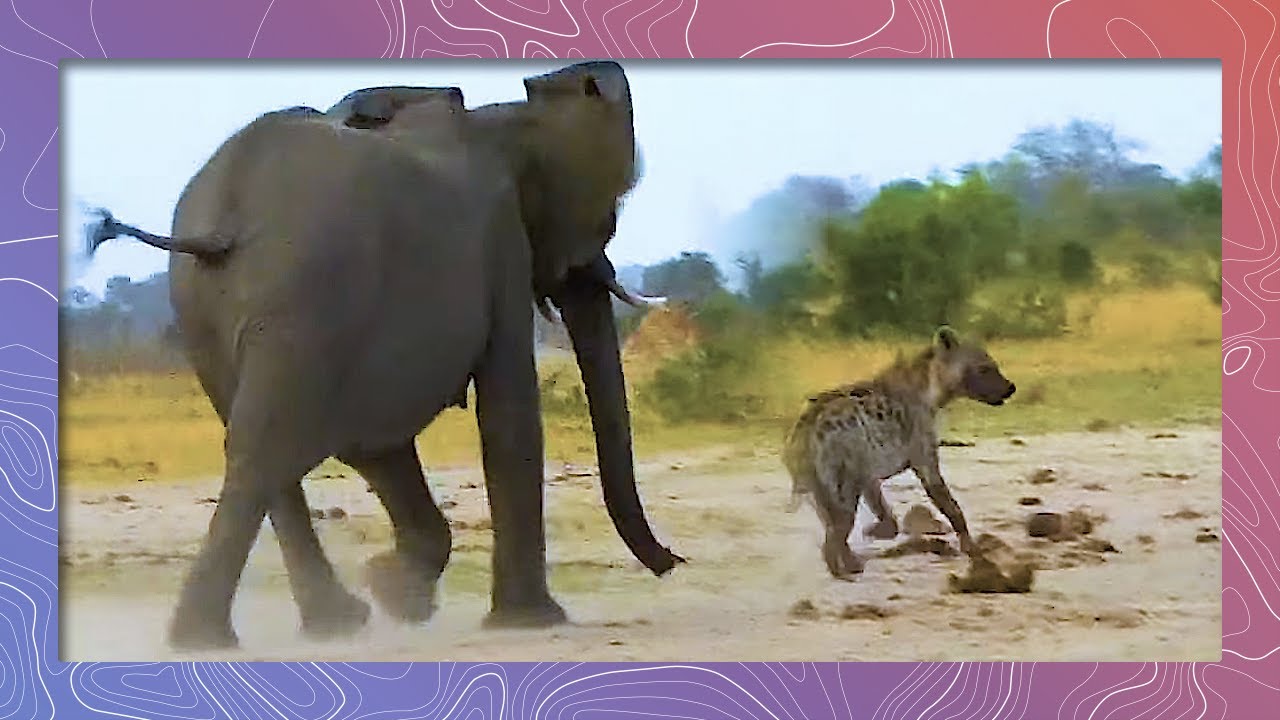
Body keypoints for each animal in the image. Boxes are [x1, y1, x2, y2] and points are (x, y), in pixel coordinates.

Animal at [85, 61, 684, 651]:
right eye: (607, 218)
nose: (674, 562)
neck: (506, 119)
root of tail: (227, 213)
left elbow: (379, 441)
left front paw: (397, 592)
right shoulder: (500, 242)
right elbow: (506, 414)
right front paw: (526, 621)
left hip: (210, 303)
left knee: (265, 444)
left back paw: (323, 624)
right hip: (308, 288)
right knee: (270, 445)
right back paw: (212, 639)